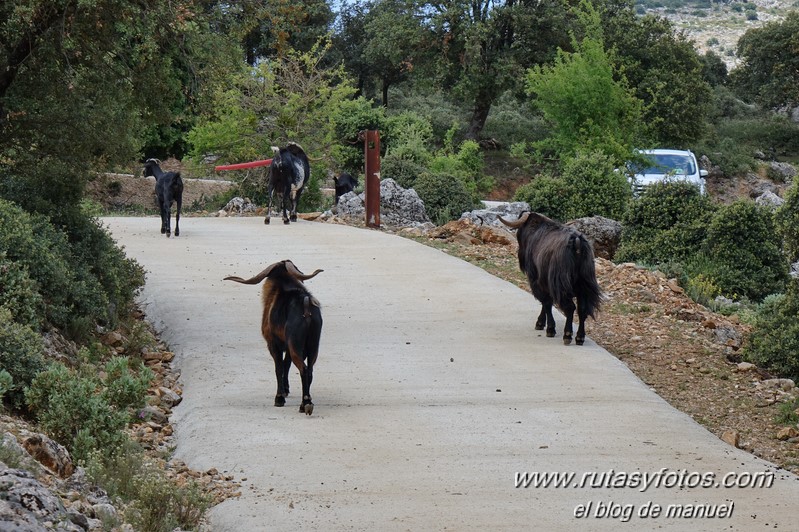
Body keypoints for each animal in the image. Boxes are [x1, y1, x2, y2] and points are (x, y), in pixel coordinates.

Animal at [223, 260, 324, 416]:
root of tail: (306, 309)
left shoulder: (273, 345)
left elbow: (279, 368)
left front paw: (279, 398)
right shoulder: (288, 347)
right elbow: (286, 365)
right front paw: (286, 390)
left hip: (296, 345)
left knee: (303, 369)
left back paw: (305, 404)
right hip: (313, 346)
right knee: (310, 370)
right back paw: (307, 401)